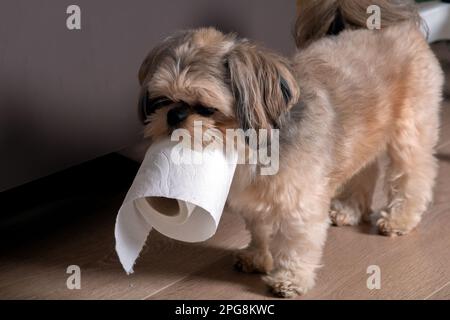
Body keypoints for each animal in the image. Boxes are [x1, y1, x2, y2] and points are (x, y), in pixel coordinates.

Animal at [137, 0, 442, 298]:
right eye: (162, 100)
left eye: (206, 109)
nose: (174, 116)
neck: (248, 149)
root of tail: (389, 22)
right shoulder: (253, 200)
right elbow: (259, 229)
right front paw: (257, 257)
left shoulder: (300, 205)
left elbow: (296, 245)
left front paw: (289, 279)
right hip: (362, 137)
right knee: (364, 171)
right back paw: (350, 209)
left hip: (410, 130)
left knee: (414, 175)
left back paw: (399, 219)